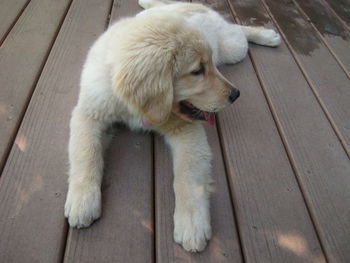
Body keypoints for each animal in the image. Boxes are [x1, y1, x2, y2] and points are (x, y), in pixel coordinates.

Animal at [64, 0, 280, 254]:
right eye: (197, 71)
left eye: (208, 66)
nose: (235, 94)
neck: (138, 108)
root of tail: (191, 6)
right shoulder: (88, 113)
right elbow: (86, 153)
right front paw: (83, 200)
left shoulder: (187, 131)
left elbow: (188, 178)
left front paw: (192, 224)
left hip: (232, 48)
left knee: (238, 29)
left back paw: (267, 35)